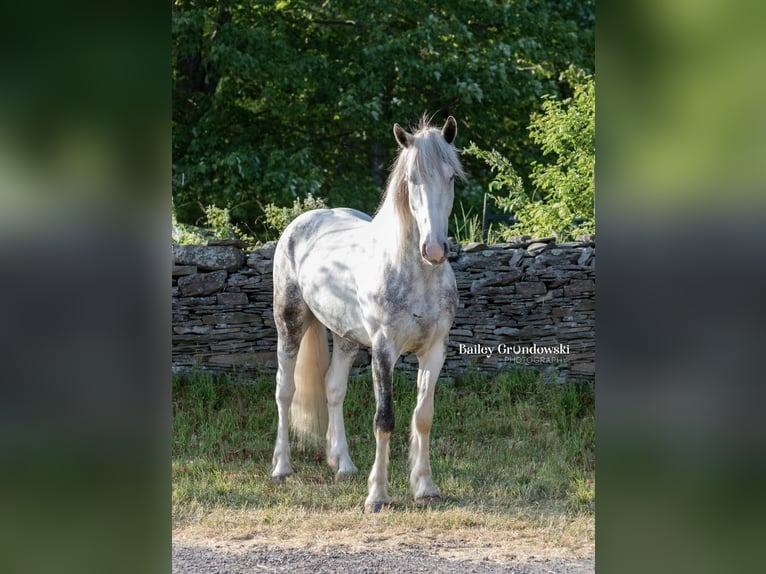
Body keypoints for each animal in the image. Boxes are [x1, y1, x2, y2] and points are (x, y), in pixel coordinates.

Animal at [272, 116, 464, 512]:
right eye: (412, 180)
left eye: (451, 176)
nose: (435, 250)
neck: (416, 275)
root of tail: (302, 222)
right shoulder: (384, 351)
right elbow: (384, 419)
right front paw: (378, 495)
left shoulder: (435, 351)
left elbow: (423, 416)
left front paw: (426, 488)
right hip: (290, 323)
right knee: (285, 390)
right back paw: (281, 468)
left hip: (345, 337)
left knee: (333, 388)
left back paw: (343, 464)